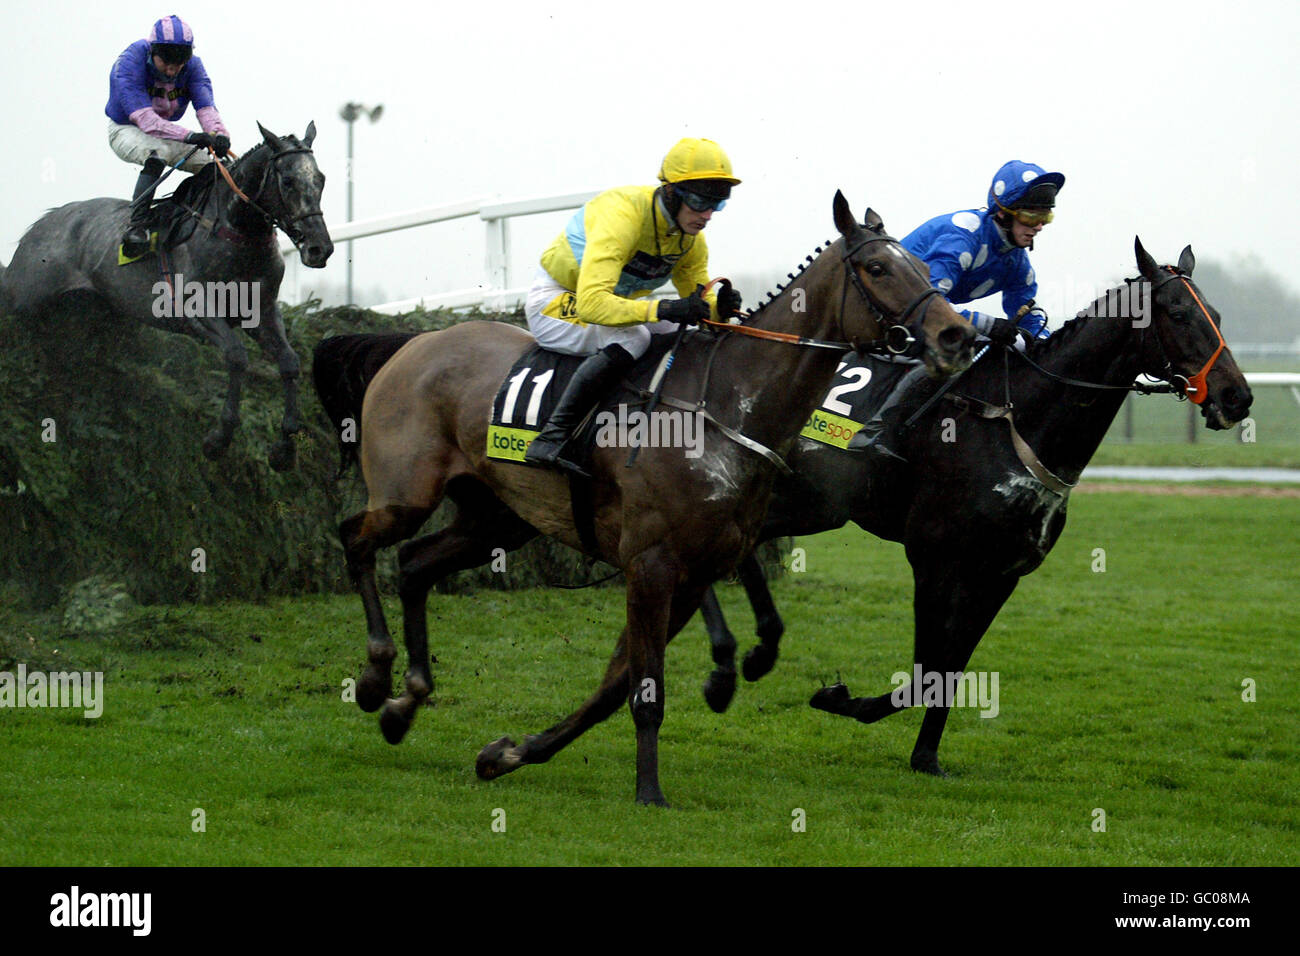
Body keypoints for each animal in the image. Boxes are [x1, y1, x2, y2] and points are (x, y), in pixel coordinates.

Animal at [2, 123, 335, 476]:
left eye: (321, 179)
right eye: (287, 181)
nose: (319, 248)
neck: (237, 231)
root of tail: (37, 229)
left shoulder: (262, 312)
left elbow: (289, 362)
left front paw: (285, 447)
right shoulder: (197, 309)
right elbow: (236, 356)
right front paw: (218, 438)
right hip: (25, 298)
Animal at [319, 195, 977, 806]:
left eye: (924, 265)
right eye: (876, 267)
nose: (958, 334)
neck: (725, 407)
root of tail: (413, 343)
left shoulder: (696, 569)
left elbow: (615, 686)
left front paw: (508, 753)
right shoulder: (652, 565)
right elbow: (644, 690)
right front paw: (649, 791)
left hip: (496, 522)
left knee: (414, 564)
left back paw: (404, 702)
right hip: (409, 493)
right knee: (357, 539)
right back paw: (376, 677)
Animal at [696, 238, 1253, 780]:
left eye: (1218, 315)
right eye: (1179, 314)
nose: (1237, 397)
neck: (1014, 424)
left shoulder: (1000, 572)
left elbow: (950, 669)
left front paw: (925, 757)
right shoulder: (935, 559)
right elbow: (928, 670)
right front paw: (840, 699)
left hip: (808, 505)